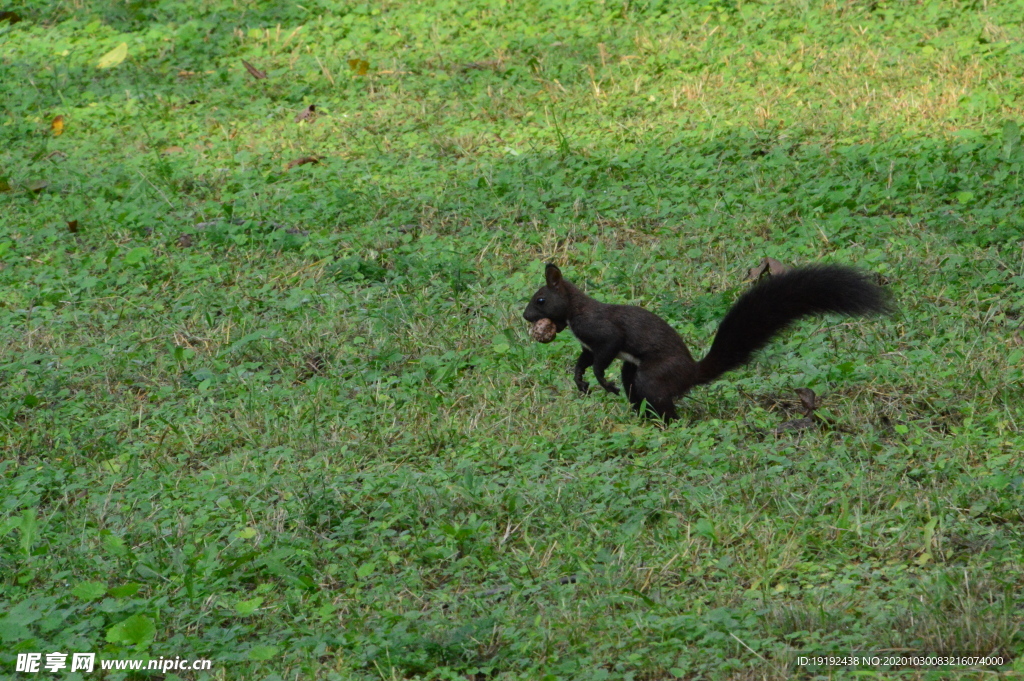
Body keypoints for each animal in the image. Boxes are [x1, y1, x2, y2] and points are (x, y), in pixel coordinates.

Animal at [524, 264, 892, 419]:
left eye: (540, 299)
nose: (527, 316)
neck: (575, 314)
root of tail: (692, 373)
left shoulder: (604, 331)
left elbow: (605, 355)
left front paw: (602, 382)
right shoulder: (588, 345)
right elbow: (584, 361)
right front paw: (580, 382)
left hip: (654, 375)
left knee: (657, 397)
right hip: (637, 375)